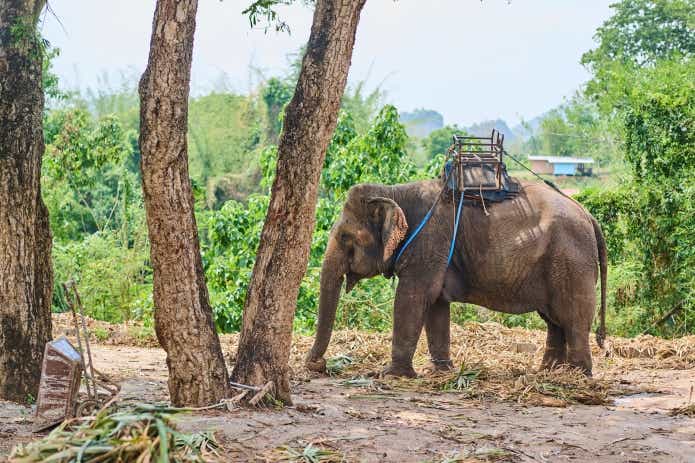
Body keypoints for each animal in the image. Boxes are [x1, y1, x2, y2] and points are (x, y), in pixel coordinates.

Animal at [308, 179, 608, 378]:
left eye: (345, 237)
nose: (318, 366)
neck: (393, 190)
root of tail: (588, 215)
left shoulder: (428, 242)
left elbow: (412, 298)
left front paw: (390, 375)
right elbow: (436, 304)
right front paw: (439, 371)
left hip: (571, 262)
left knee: (573, 319)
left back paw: (577, 377)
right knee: (554, 320)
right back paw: (548, 373)